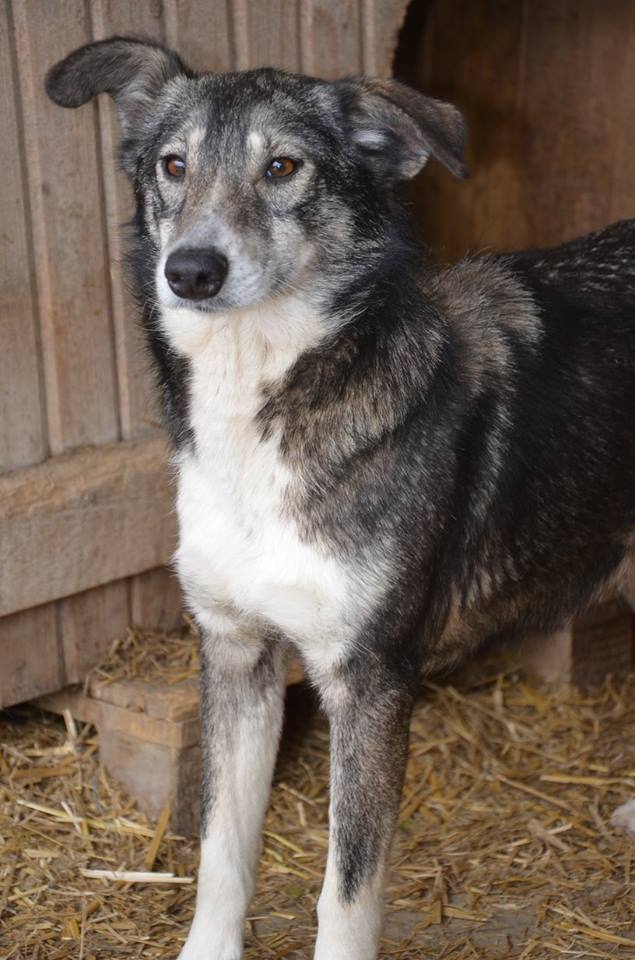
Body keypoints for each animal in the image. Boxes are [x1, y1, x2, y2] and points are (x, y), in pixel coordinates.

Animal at [46, 39, 635, 960]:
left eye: (283, 167)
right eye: (173, 165)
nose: (190, 271)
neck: (267, 403)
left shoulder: (370, 681)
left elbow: (346, 893)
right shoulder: (236, 652)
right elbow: (220, 853)